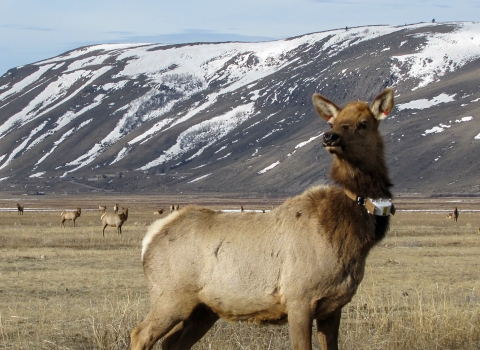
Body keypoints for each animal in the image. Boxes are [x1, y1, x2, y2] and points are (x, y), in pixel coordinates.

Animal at [129, 87, 396, 350]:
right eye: (334, 122)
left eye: (363, 123)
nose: (330, 137)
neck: (351, 240)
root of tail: (149, 238)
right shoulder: (299, 298)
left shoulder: (333, 306)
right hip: (170, 296)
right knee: (140, 334)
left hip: (204, 309)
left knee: (171, 342)